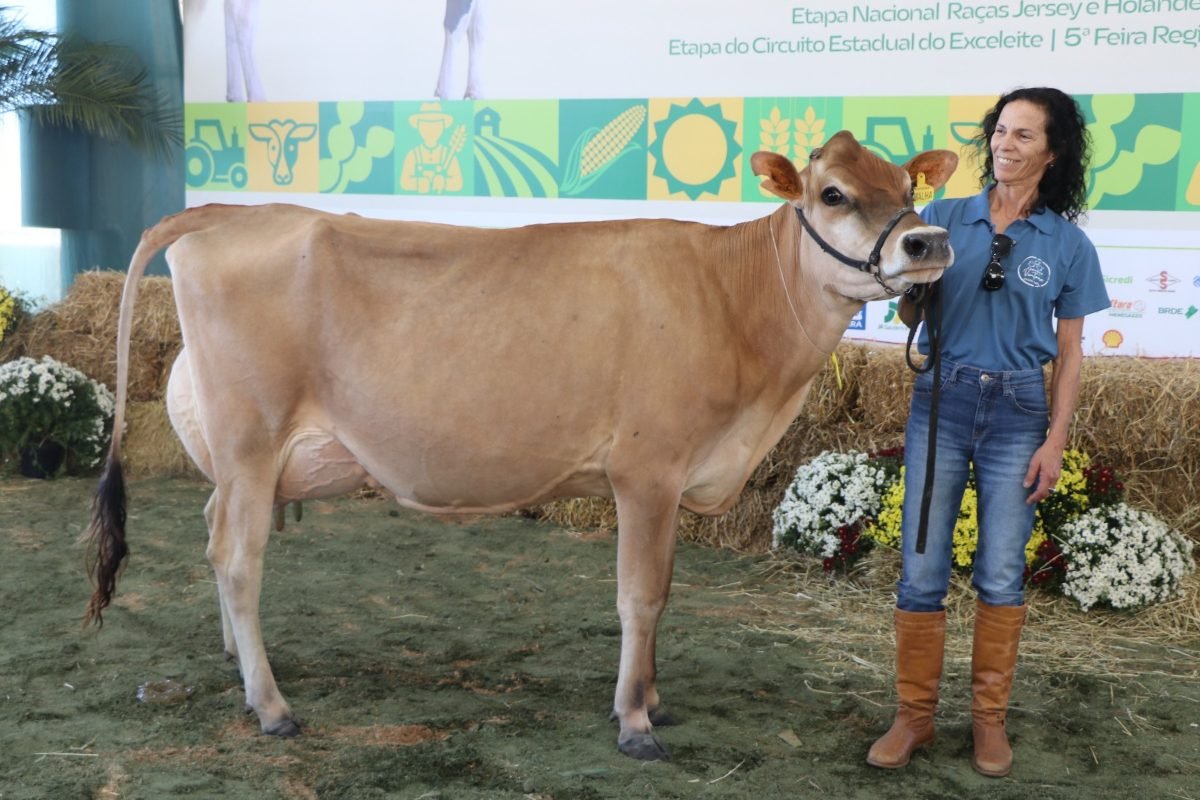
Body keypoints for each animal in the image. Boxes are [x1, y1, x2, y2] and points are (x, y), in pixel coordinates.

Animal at [86, 130, 957, 761]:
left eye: (910, 187)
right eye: (833, 192)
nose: (927, 243)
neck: (736, 304)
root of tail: (229, 212)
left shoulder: (672, 483)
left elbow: (666, 590)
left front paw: (654, 698)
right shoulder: (648, 469)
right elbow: (642, 595)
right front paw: (634, 722)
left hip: (245, 463)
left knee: (212, 535)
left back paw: (239, 668)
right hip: (250, 439)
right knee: (237, 559)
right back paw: (271, 706)